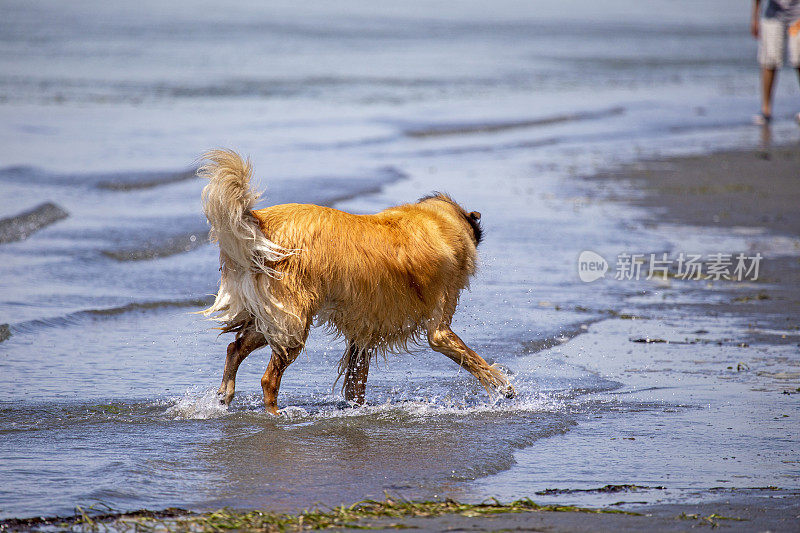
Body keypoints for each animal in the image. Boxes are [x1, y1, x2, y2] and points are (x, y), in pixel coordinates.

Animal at [197, 150, 516, 416]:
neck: (440, 221)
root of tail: (259, 223)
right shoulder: (439, 327)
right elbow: (473, 360)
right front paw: (506, 388)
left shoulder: (363, 333)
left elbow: (355, 382)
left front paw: (357, 409)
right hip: (292, 323)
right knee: (268, 379)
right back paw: (275, 415)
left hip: (273, 318)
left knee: (234, 347)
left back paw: (225, 396)